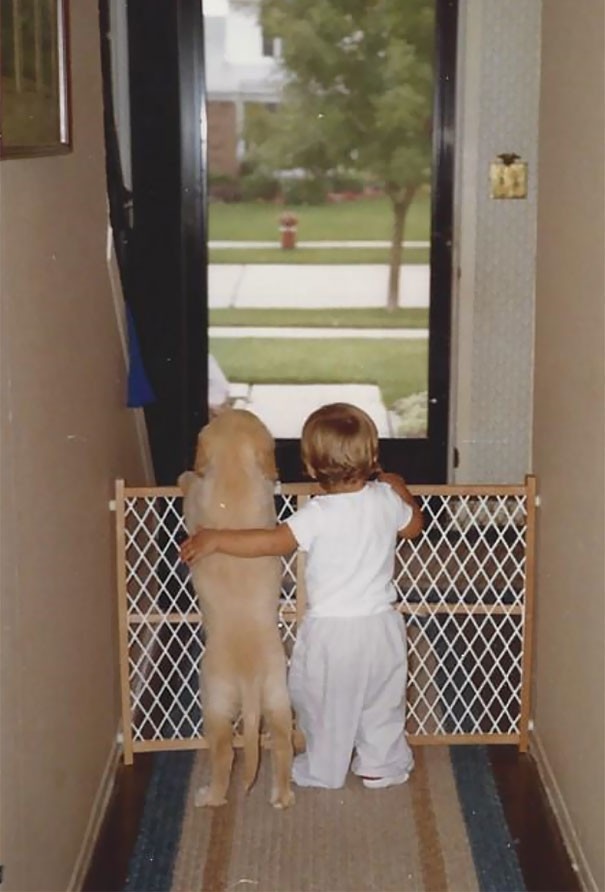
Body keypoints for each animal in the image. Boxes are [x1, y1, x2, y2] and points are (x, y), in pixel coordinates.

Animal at [178, 410, 294, 808]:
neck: (233, 473)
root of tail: (249, 679)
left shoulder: (196, 500)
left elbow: (191, 488)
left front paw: (183, 477)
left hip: (213, 700)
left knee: (225, 752)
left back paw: (209, 796)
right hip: (278, 694)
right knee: (283, 743)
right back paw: (282, 794)